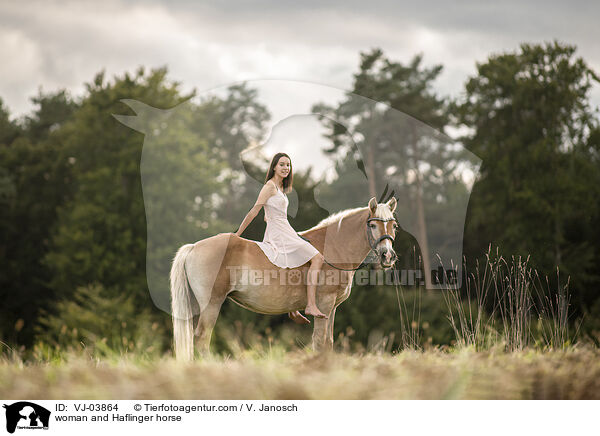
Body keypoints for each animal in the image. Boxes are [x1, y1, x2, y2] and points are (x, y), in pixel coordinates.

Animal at [170, 196, 398, 360]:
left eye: (393, 226)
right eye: (373, 225)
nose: (388, 256)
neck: (332, 248)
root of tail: (193, 247)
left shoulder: (332, 308)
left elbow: (329, 342)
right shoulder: (324, 305)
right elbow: (319, 341)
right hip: (212, 304)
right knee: (201, 338)